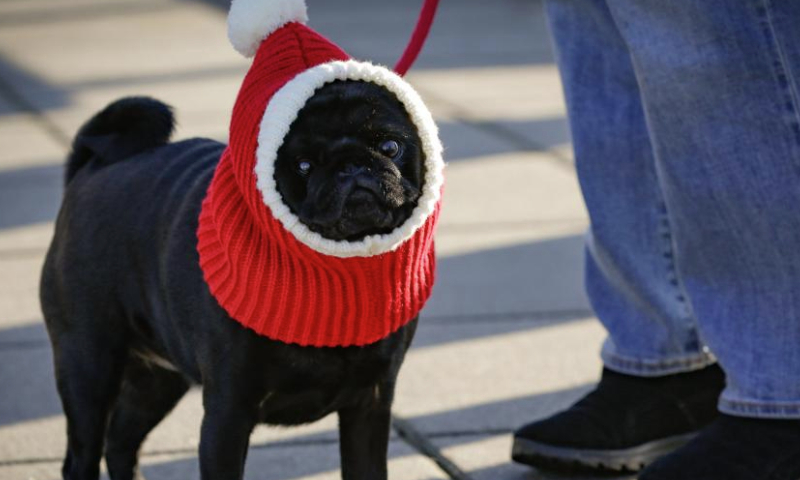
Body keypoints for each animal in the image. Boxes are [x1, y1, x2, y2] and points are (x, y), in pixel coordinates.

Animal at [40, 79, 432, 480]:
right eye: (303, 165)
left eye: (390, 147)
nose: (351, 165)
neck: (334, 272)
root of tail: (90, 168)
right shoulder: (228, 413)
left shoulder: (369, 405)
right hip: (88, 365)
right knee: (83, 454)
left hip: (157, 379)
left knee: (121, 442)